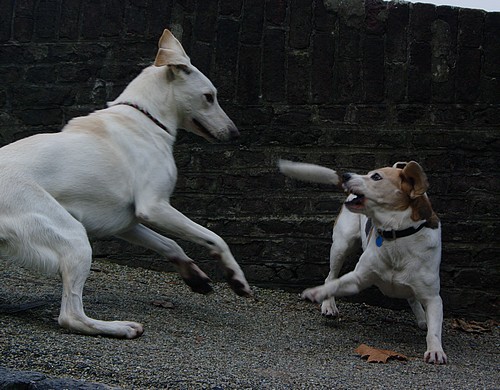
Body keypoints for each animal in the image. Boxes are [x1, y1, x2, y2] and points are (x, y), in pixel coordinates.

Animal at [0, 29, 250, 338]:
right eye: (209, 97)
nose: (235, 134)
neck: (145, 119)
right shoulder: (154, 208)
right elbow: (214, 237)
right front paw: (236, 278)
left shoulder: (126, 223)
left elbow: (170, 244)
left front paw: (194, 276)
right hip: (73, 237)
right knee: (71, 316)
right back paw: (120, 328)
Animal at [280, 158, 448, 362]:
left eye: (376, 177)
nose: (346, 175)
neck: (396, 235)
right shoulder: (358, 278)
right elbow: (335, 284)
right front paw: (316, 293)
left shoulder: (433, 298)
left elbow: (434, 330)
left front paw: (435, 349)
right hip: (341, 245)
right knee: (331, 276)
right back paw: (328, 305)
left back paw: (422, 318)